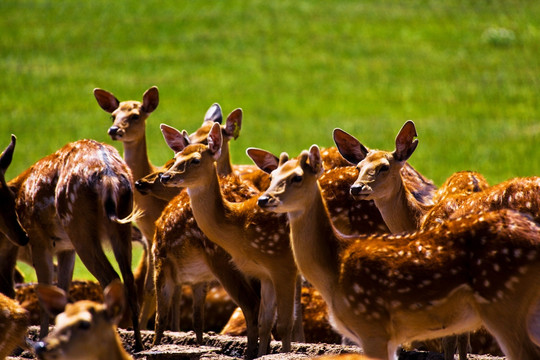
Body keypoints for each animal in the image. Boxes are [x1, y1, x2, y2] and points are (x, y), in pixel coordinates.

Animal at [7, 139, 142, 350]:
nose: (21, 236)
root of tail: (109, 178)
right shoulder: (66, 248)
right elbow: (61, 290)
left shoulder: (39, 240)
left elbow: (45, 291)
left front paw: (42, 340)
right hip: (121, 223)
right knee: (128, 277)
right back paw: (138, 344)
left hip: (78, 225)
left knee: (111, 277)